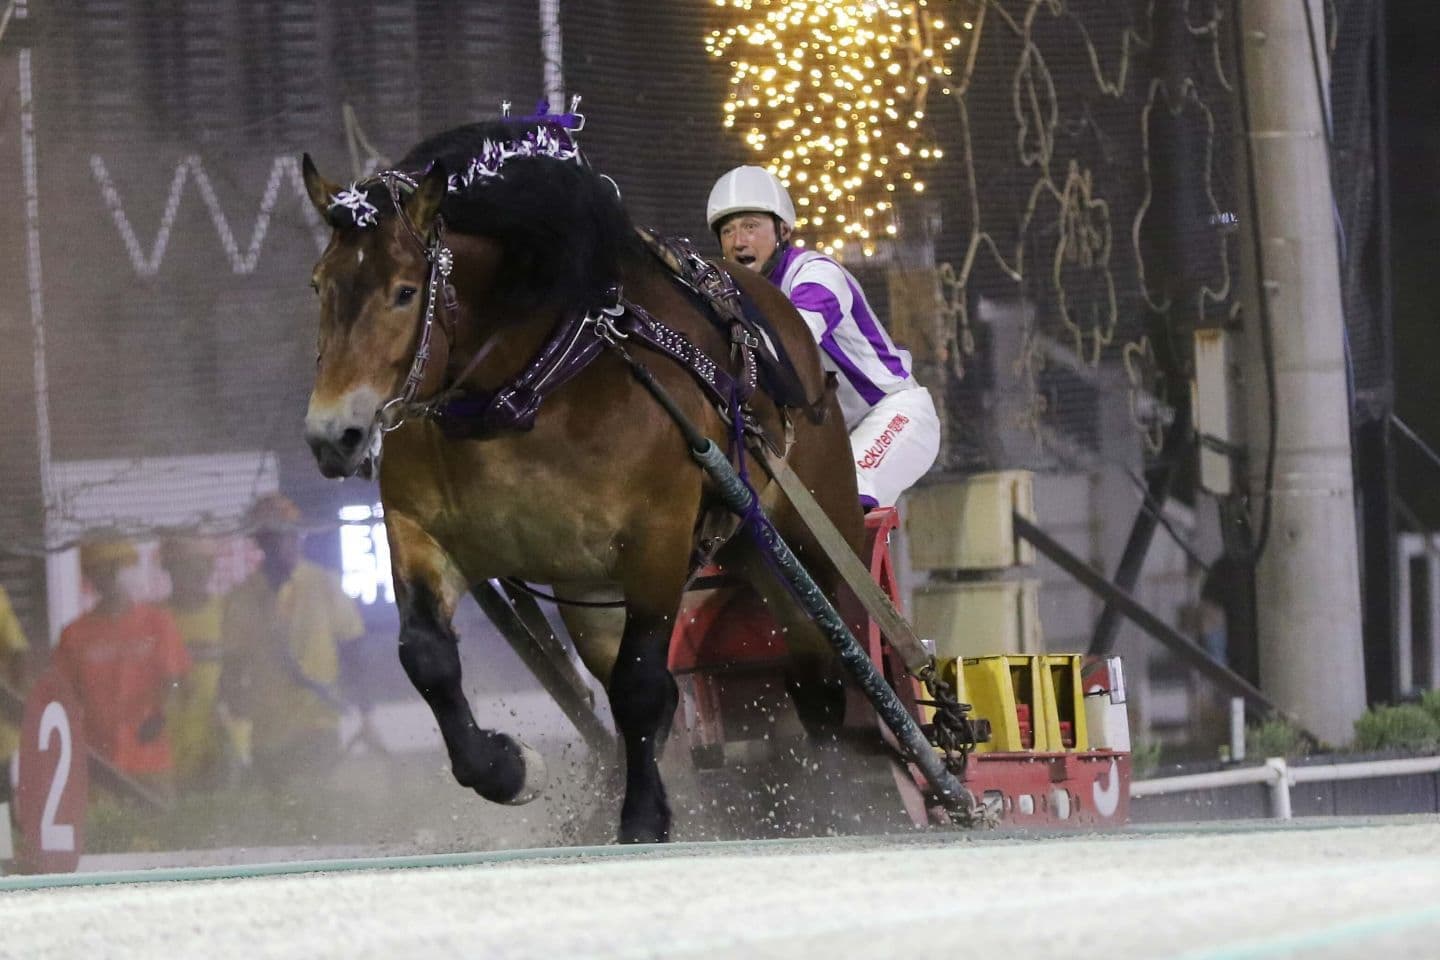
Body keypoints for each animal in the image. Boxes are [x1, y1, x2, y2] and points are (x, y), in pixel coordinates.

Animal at [300, 118, 864, 840]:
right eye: (320, 285)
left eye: (403, 291)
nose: (332, 435)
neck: (526, 395)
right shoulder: (420, 531)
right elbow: (427, 656)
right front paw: (508, 769)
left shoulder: (657, 541)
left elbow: (642, 685)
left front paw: (643, 817)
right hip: (610, 584)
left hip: (806, 548)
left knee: (827, 676)